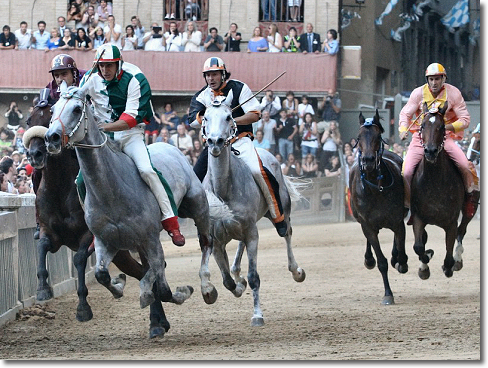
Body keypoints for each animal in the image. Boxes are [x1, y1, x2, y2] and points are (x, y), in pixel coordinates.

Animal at [26, 102, 172, 338]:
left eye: (47, 117)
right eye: (29, 120)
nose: (35, 154)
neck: (60, 187)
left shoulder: (90, 235)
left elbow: (79, 259)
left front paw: (83, 308)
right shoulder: (50, 231)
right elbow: (41, 247)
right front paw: (42, 290)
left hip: (134, 245)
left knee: (146, 270)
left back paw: (156, 321)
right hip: (121, 254)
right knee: (140, 273)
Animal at [200, 97, 304, 324]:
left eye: (228, 116)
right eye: (205, 117)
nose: (215, 142)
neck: (224, 189)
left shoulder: (252, 235)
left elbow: (254, 277)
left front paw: (257, 315)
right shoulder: (217, 241)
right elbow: (227, 281)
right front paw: (236, 285)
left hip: (280, 212)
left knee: (287, 233)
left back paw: (297, 271)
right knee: (239, 249)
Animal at [350, 110, 408, 304]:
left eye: (377, 136)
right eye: (359, 137)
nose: (368, 160)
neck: (376, 188)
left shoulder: (397, 220)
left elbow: (401, 249)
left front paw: (400, 261)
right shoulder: (367, 223)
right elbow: (381, 261)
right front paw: (388, 294)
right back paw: (369, 259)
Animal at [410, 103, 478, 278]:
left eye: (441, 127)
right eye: (422, 125)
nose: (430, 151)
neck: (434, 182)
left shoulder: (451, 221)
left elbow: (448, 254)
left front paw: (449, 265)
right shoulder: (418, 216)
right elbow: (418, 246)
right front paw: (425, 264)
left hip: (470, 209)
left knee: (462, 230)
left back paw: (458, 260)